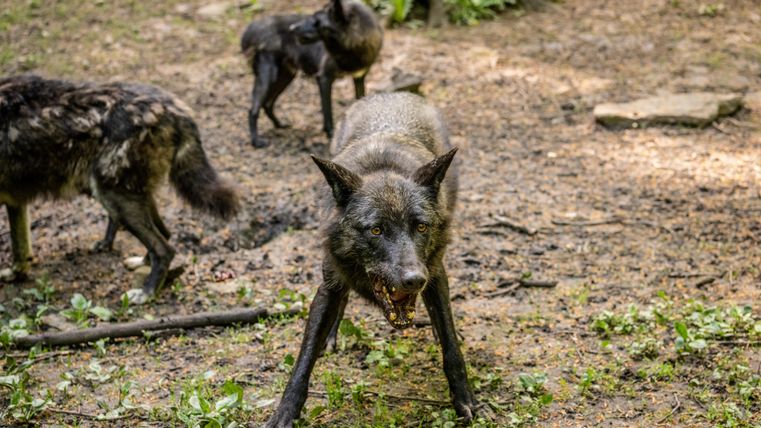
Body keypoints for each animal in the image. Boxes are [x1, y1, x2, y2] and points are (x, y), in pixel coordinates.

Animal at [0, 75, 239, 302]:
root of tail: (175, 108)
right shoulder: (16, 203)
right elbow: (20, 251)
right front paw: (16, 275)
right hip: (126, 196)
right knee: (165, 234)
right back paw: (142, 264)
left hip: (114, 199)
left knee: (164, 249)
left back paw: (146, 293)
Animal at [240, 0, 382, 148]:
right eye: (313, 17)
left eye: (317, 21)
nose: (292, 28)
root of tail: (253, 26)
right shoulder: (324, 79)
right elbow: (327, 112)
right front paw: (331, 136)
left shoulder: (359, 77)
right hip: (269, 78)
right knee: (253, 110)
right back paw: (256, 141)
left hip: (285, 77)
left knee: (268, 104)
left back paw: (280, 125)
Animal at [264, 92, 476, 427]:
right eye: (376, 229)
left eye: (421, 226)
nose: (414, 280)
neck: (384, 167)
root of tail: (393, 94)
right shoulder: (329, 285)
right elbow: (303, 361)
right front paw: (285, 412)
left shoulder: (436, 275)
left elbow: (451, 346)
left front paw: (463, 399)